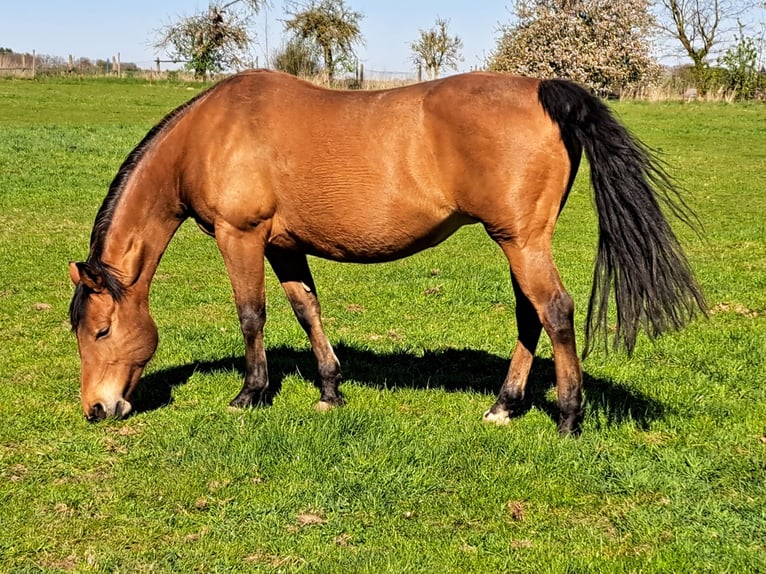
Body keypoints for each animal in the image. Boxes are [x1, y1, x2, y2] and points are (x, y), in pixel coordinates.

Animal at [68, 70, 705, 434]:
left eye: (101, 330)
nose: (96, 409)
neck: (214, 132)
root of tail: (542, 91)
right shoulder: (283, 246)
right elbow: (307, 310)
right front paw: (329, 390)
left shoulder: (241, 236)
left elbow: (252, 315)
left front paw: (250, 394)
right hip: (517, 242)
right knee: (531, 318)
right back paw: (504, 405)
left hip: (522, 242)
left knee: (555, 312)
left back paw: (569, 417)